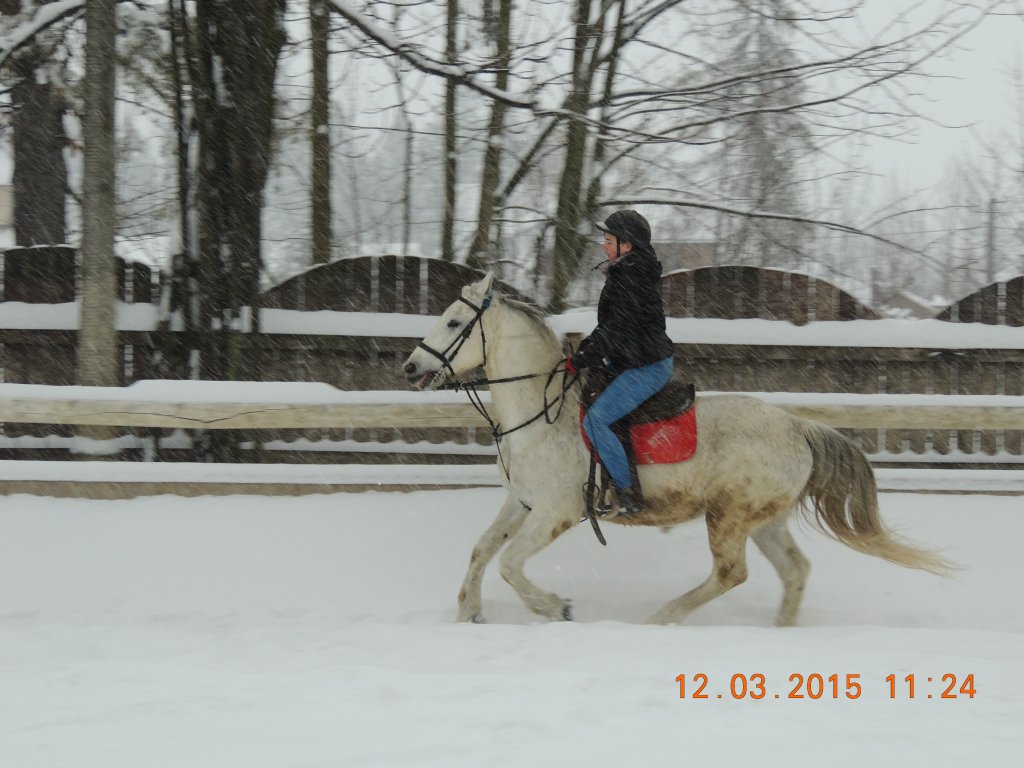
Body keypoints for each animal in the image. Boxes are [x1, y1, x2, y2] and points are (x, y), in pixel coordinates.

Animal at [403, 274, 954, 626]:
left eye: (453, 323)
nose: (410, 368)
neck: (540, 413)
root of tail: (799, 427)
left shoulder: (554, 513)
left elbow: (510, 564)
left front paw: (556, 608)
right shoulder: (521, 502)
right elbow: (483, 550)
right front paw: (469, 612)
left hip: (729, 517)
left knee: (731, 573)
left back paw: (660, 618)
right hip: (765, 521)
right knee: (794, 571)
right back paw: (779, 630)